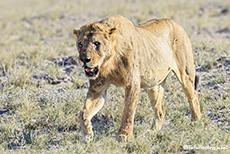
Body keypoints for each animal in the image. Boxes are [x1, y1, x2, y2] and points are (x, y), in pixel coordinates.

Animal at [73, 15, 201, 142]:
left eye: (96, 43)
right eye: (80, 44)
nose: (84, 59)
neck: (108, 63)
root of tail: (175, 23)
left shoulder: (132, 83)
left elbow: (128, 111)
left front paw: (124, 135)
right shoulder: (98, 88)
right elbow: (84, 112)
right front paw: (87, 133)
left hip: (185, 73)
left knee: (193, 96)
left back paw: (196, 122)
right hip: (154, 84)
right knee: (160, 110)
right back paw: (152, 133)